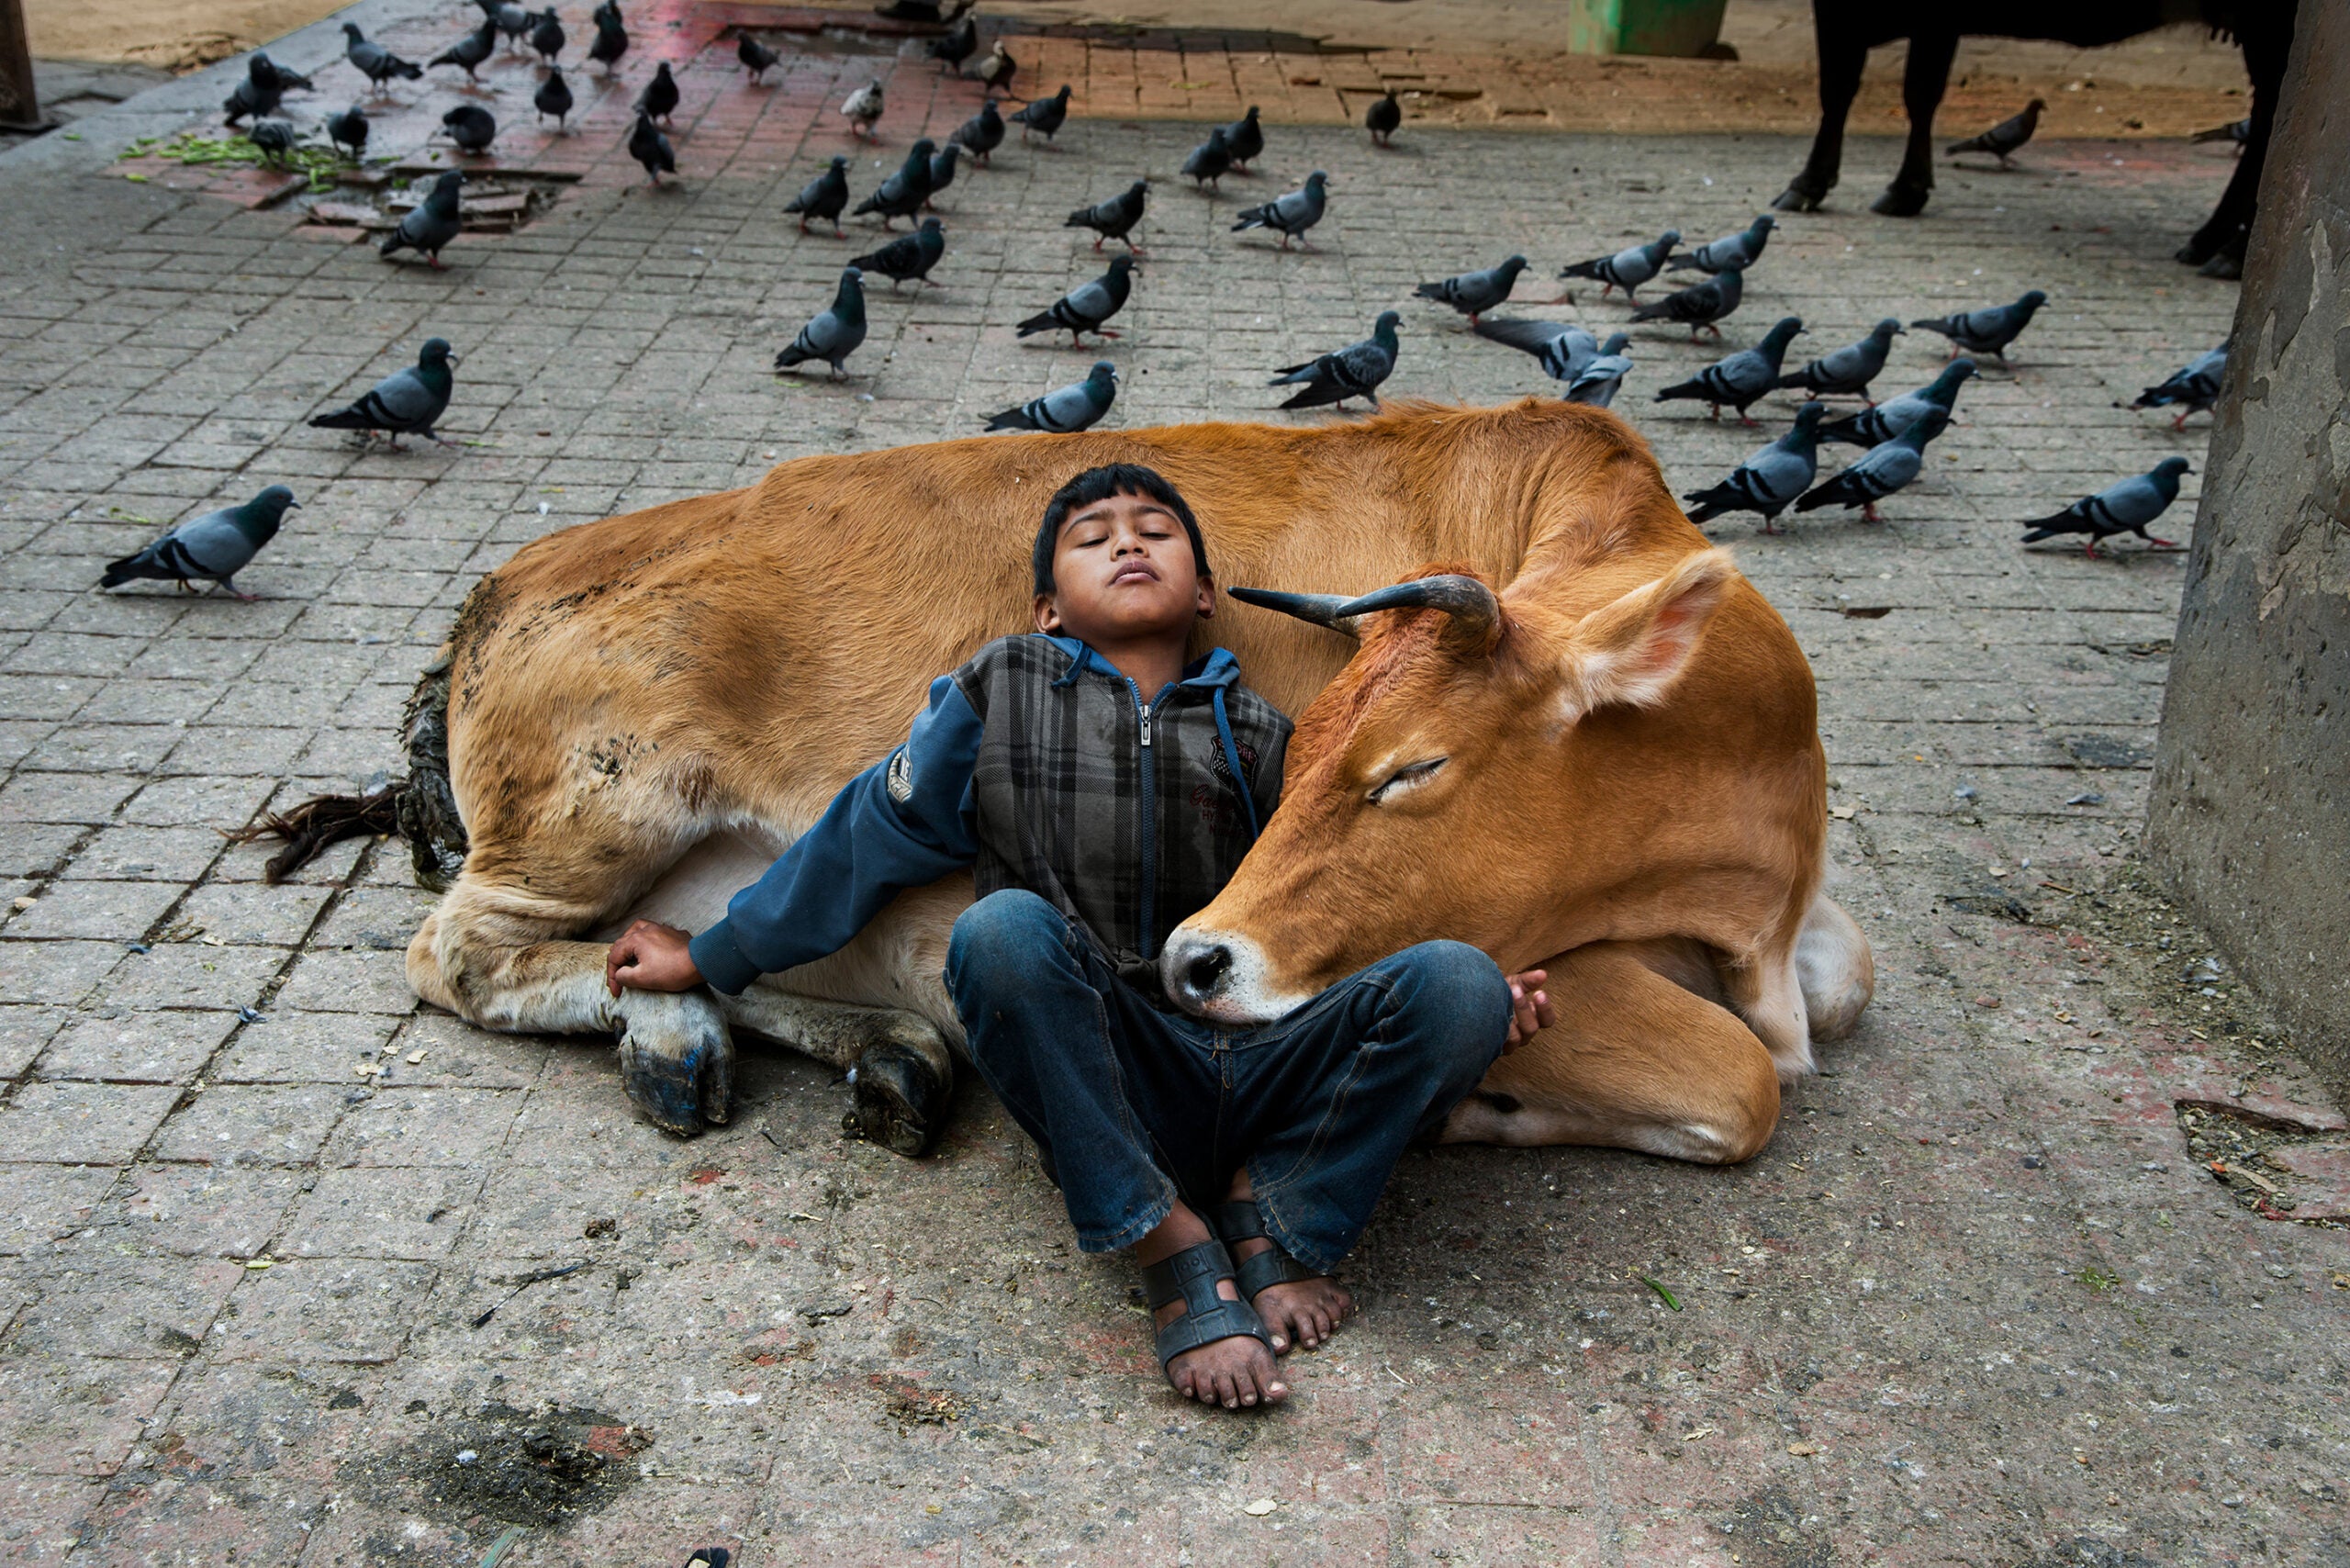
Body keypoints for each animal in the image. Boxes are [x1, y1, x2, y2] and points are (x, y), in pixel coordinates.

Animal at [342, 401, 1870, 1166]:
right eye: (1320, 751)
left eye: (1412, 768)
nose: (1200, 962)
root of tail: (503, 583)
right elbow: (1741, 1077)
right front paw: (1482, 1105)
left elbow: (1843, 987)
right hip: (599, 803)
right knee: (462, 953)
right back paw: (684, 1032)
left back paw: (877, 1048)